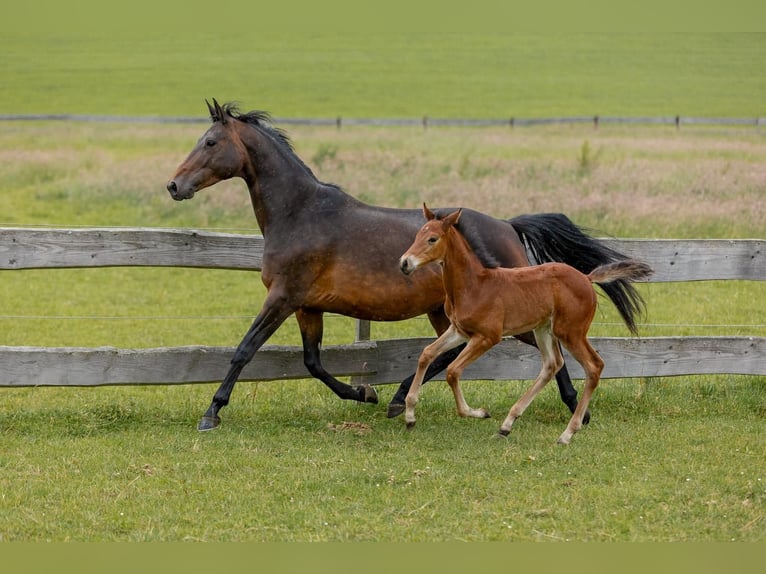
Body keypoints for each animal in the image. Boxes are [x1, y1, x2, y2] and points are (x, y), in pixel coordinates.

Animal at [402, 207, 656, 446]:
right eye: (417, 235)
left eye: (432, 238)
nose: (404, 263)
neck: (474, 285)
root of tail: (586, 278)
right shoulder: (459, 331)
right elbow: (427, 354)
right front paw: (409, 414)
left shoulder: (487, 336)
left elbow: (453, 371)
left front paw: (479, 412)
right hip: (543, 329)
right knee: (552, 364)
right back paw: (507, 424)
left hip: (570, 332)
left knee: (594, 366)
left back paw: (567, 434)